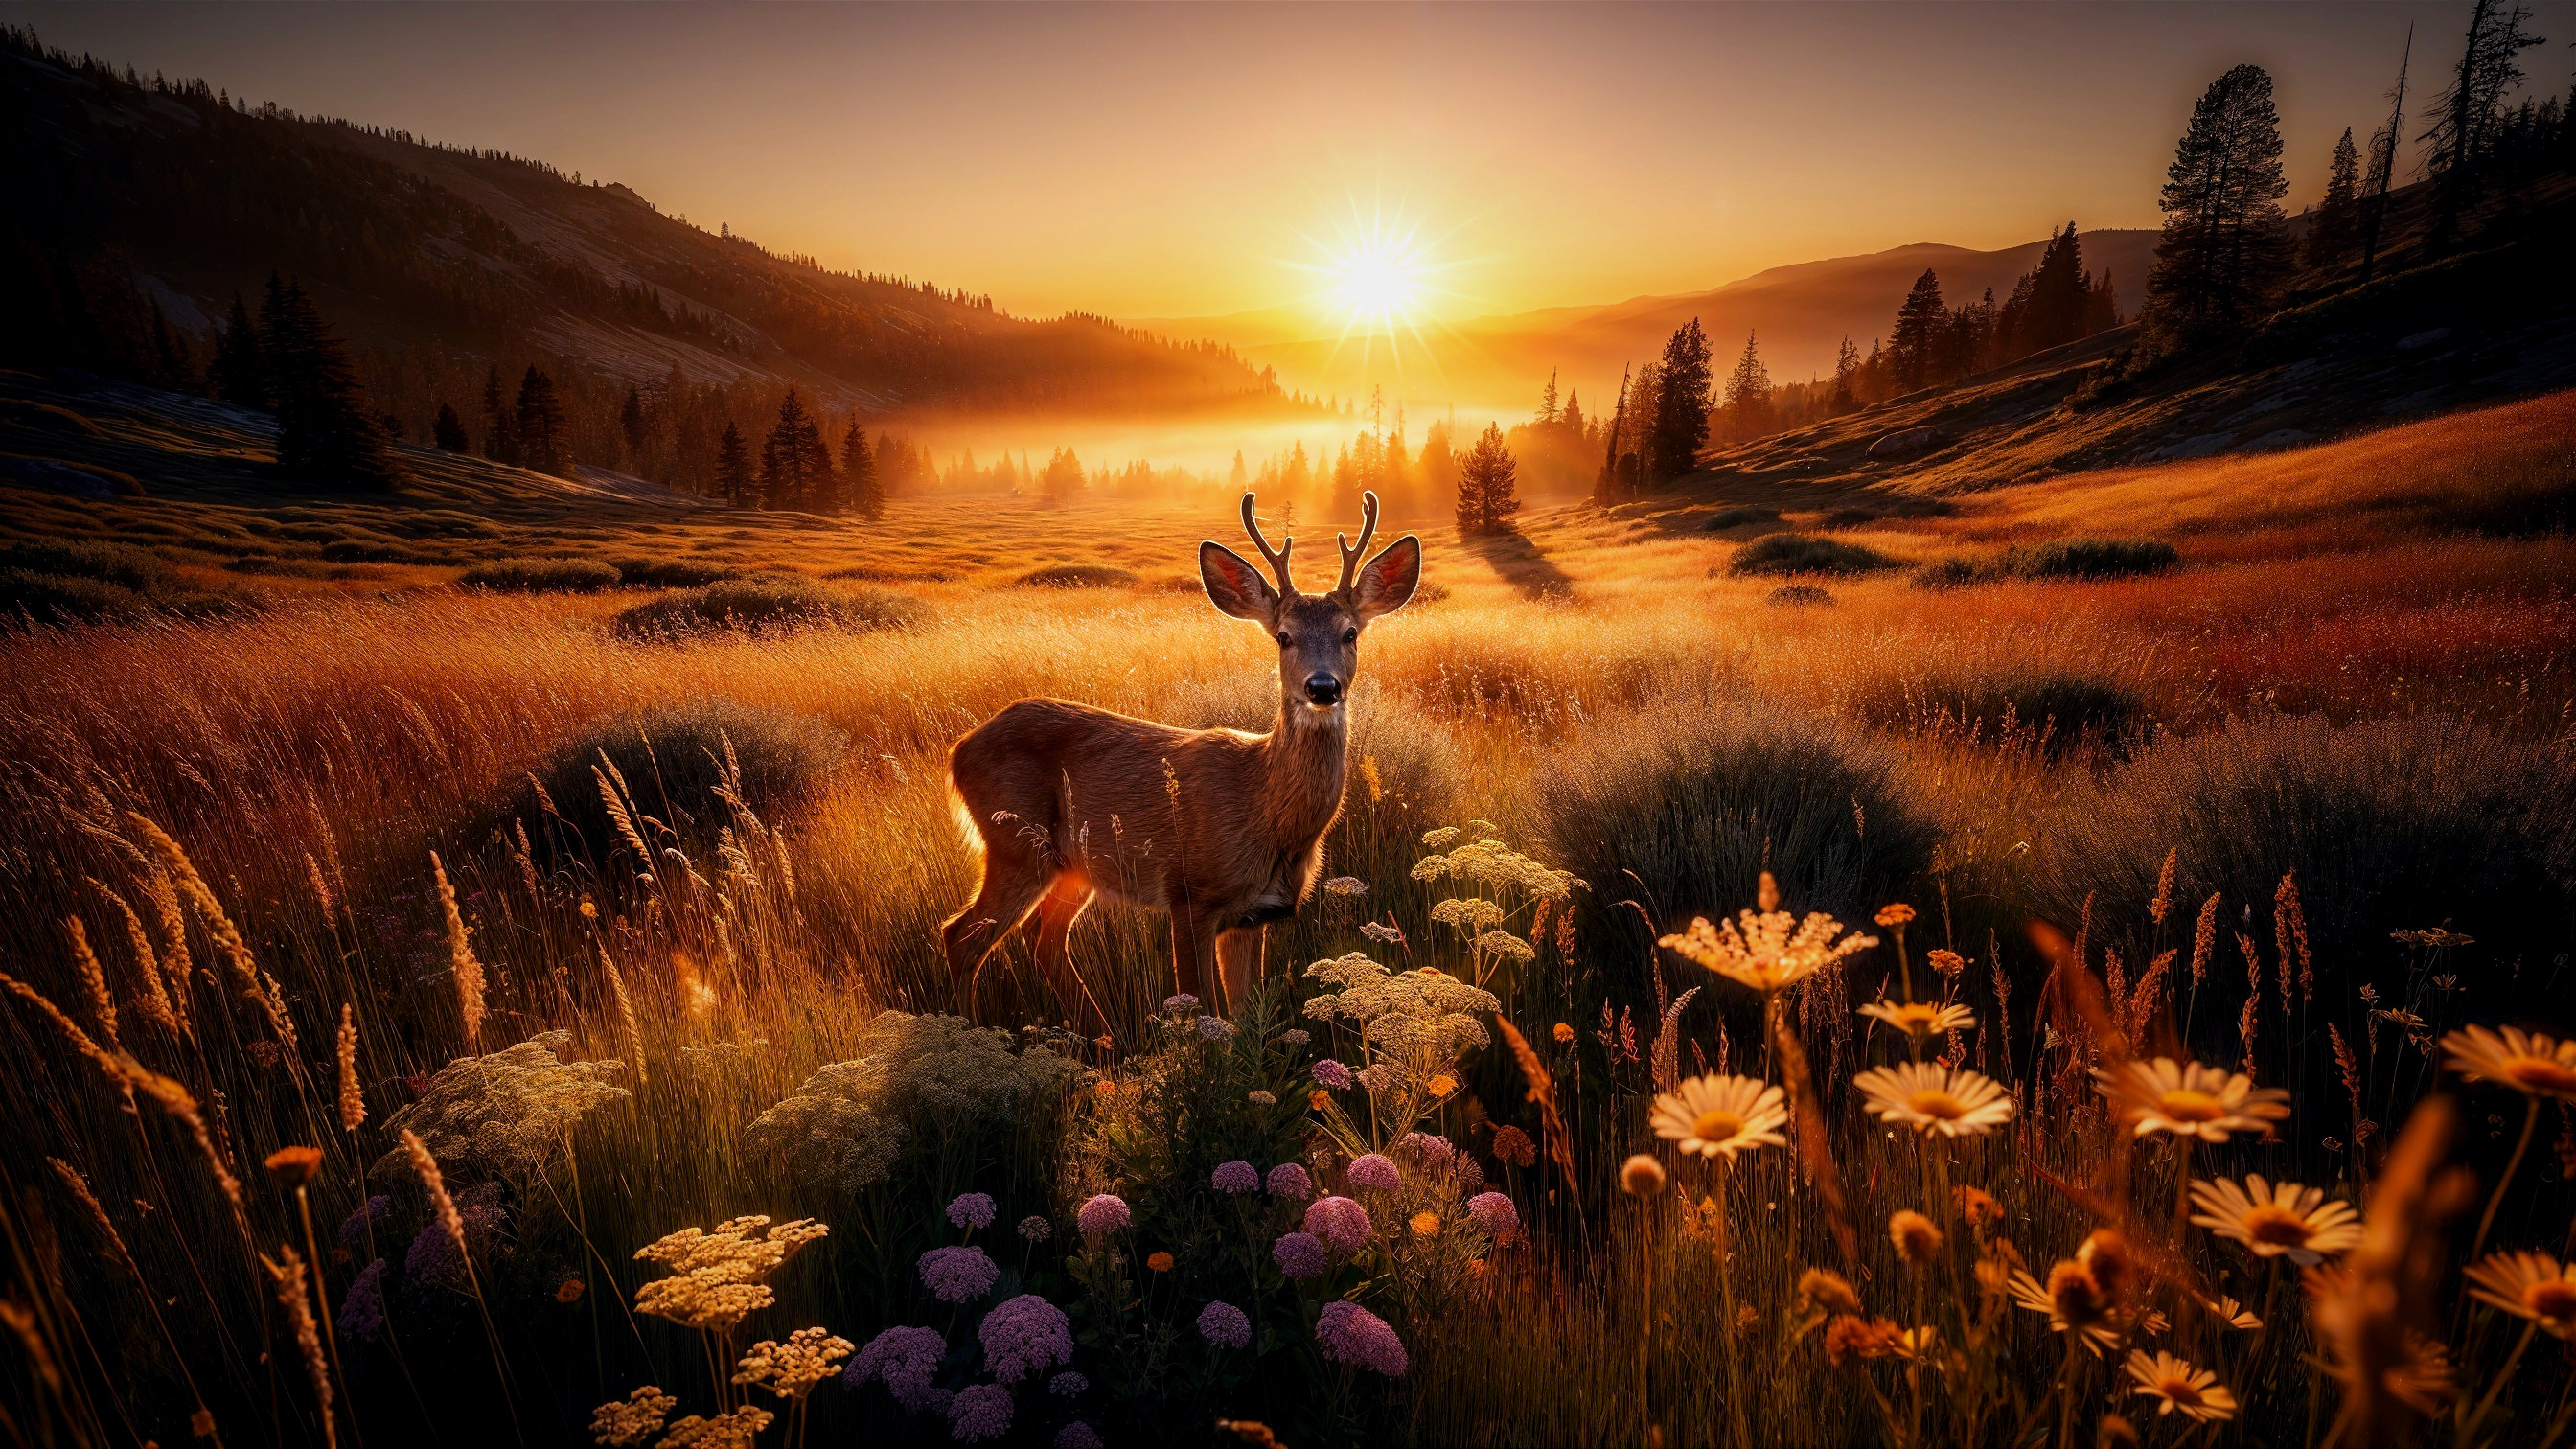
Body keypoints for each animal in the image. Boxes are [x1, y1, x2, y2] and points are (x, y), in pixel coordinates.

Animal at [940, 491, 1421, 1032]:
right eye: (1283, 636)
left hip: (1072, 866)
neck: (1264, 809)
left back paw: (1103, 1038)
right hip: (1015, 843)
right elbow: (1205, 1015)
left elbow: (1245, 1018)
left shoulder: (1256, 914)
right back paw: (973, 1034)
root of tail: (959, 749)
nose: (1322, 686)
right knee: (961, 937)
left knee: (1043, 938)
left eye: (1350, 633)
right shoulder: (1190, 895)